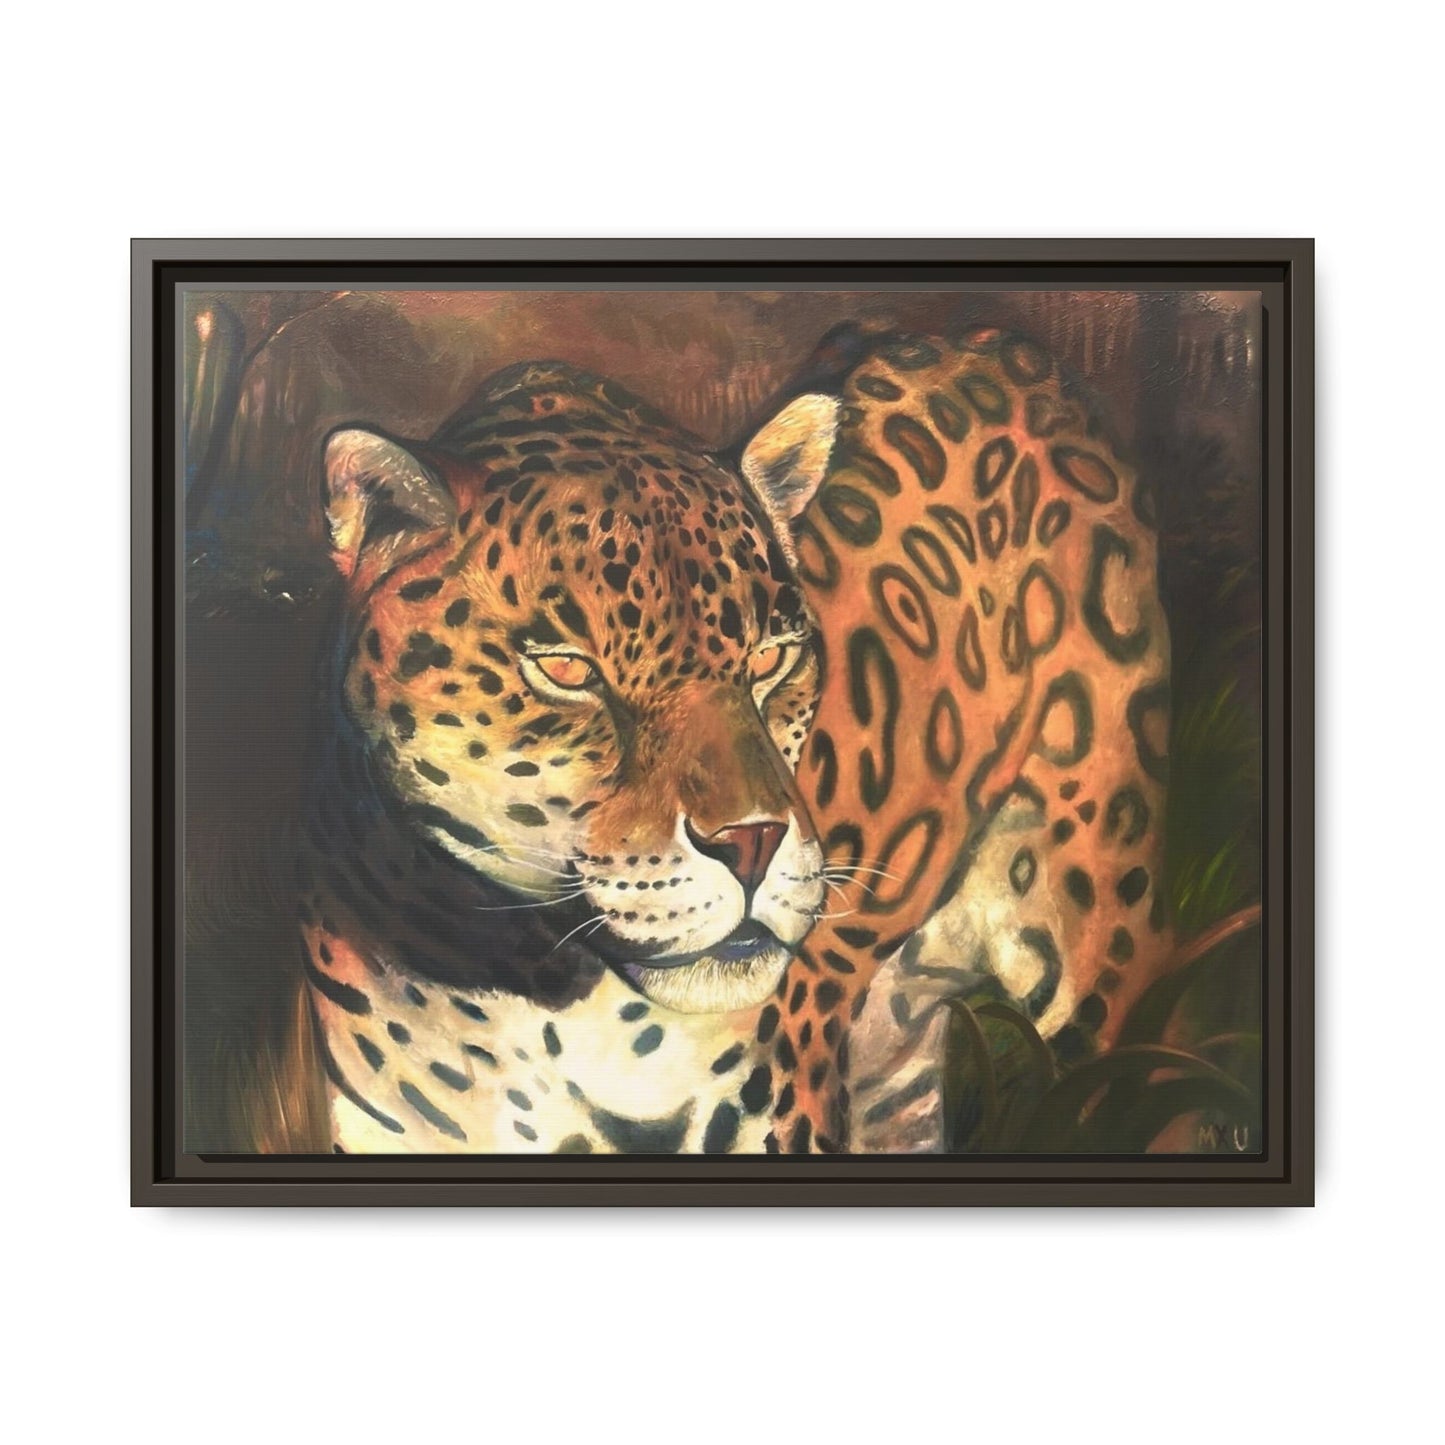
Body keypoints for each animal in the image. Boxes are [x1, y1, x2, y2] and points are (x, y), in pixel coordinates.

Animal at [294, 323, 1170, 1154]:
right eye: (568, 670)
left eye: (771, 658)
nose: (750, 845)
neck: (524, 983)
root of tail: (992, 344)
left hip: (1092, 939)